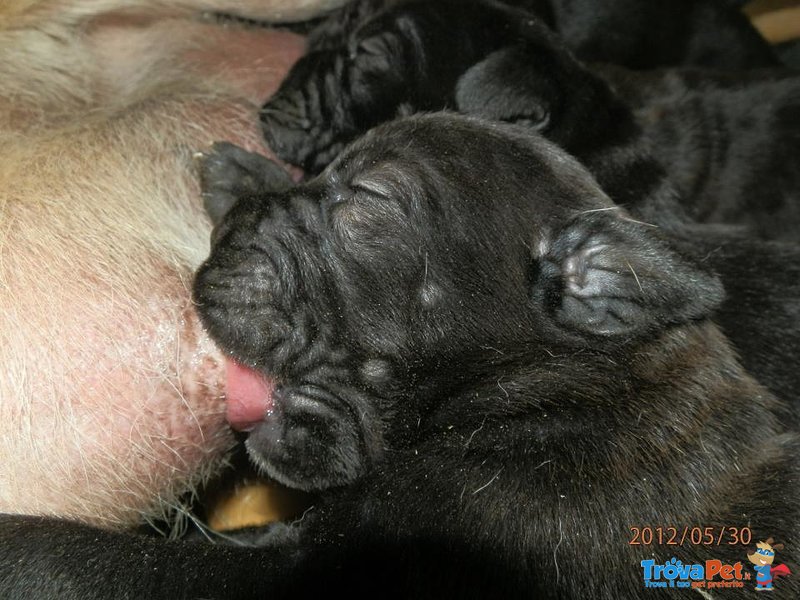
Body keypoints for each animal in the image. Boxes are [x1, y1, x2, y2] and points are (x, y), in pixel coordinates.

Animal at [3, 112, 796, 596]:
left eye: (369, 199)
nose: (236, 224)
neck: (543, 385)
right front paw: (252, 176)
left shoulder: (303, 571)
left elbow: (101, 559)